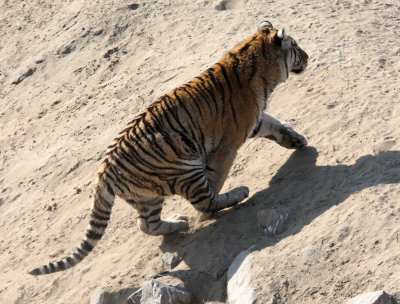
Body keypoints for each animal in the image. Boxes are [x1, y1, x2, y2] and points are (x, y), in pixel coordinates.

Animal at [28, 21, 310, 276]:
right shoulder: (227, 145)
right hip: (185, 165)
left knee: (146, 225)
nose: (308, 57)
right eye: (296, 46)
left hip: (147, 196)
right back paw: (235, 195)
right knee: (203, 200)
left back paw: (178, 223)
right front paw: (210, 211)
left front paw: (297, 140)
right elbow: (216, 179)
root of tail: (104, 172)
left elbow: (276, 124)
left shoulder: (254, 122)